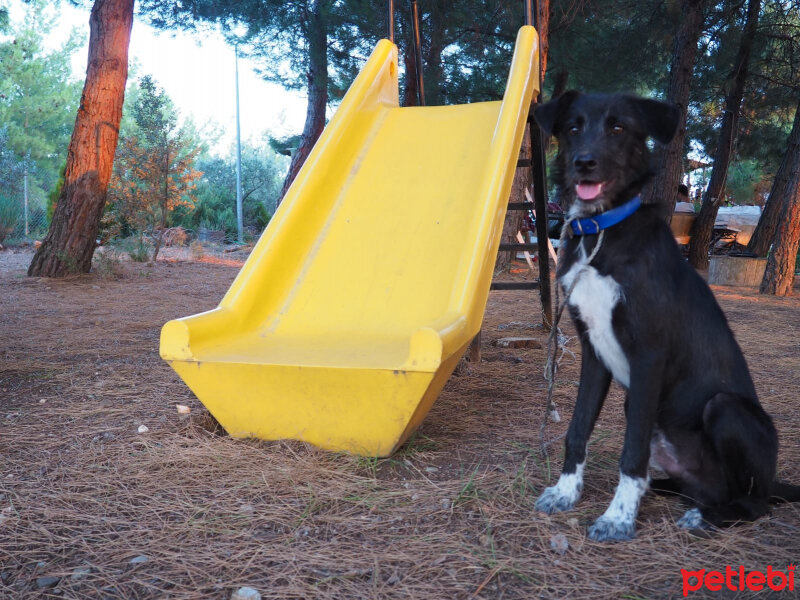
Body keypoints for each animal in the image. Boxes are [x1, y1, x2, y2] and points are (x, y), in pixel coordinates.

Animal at [532, 90, 800, 544]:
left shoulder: (648, 355)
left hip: (726, 408)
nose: (584, 162)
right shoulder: (593, 352)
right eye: (572, 127)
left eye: (618, 127)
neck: (600, 230)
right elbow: (577, 429)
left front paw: (618, 518)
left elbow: (632, 453)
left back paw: (705, 517)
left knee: (754, 503)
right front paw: (566, 492)